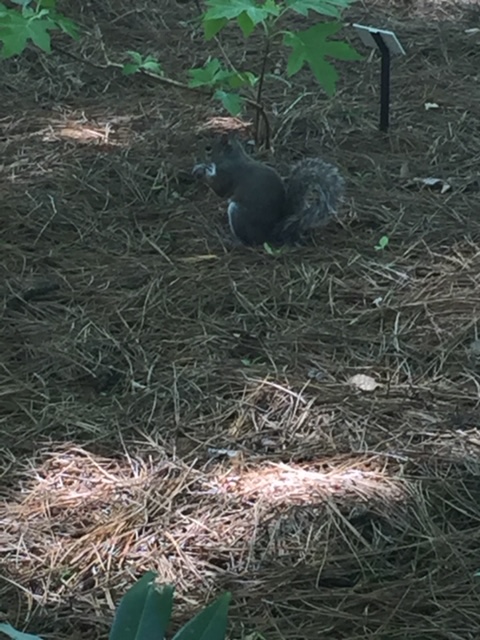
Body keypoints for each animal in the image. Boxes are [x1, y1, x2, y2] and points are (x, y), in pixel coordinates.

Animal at [191, 132, 344, 245]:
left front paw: (202, 172)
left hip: (238, 214)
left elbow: (220, 190)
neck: (231, 157)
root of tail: (272, 232)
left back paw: (232, 240)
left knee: (250, 241)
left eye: (208, 148)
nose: (197, 153)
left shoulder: (228, 174)